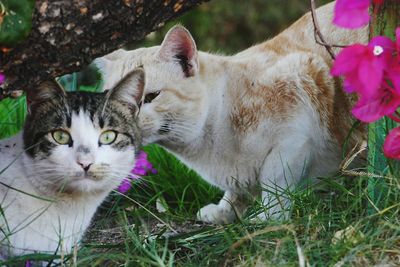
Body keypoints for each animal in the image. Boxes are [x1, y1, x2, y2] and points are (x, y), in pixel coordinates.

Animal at [96, 2, 366, 224]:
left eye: (151, 96)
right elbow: (236, 191)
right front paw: (225, 210)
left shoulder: (294, 133)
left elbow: (274, 179)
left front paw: (269, 216)